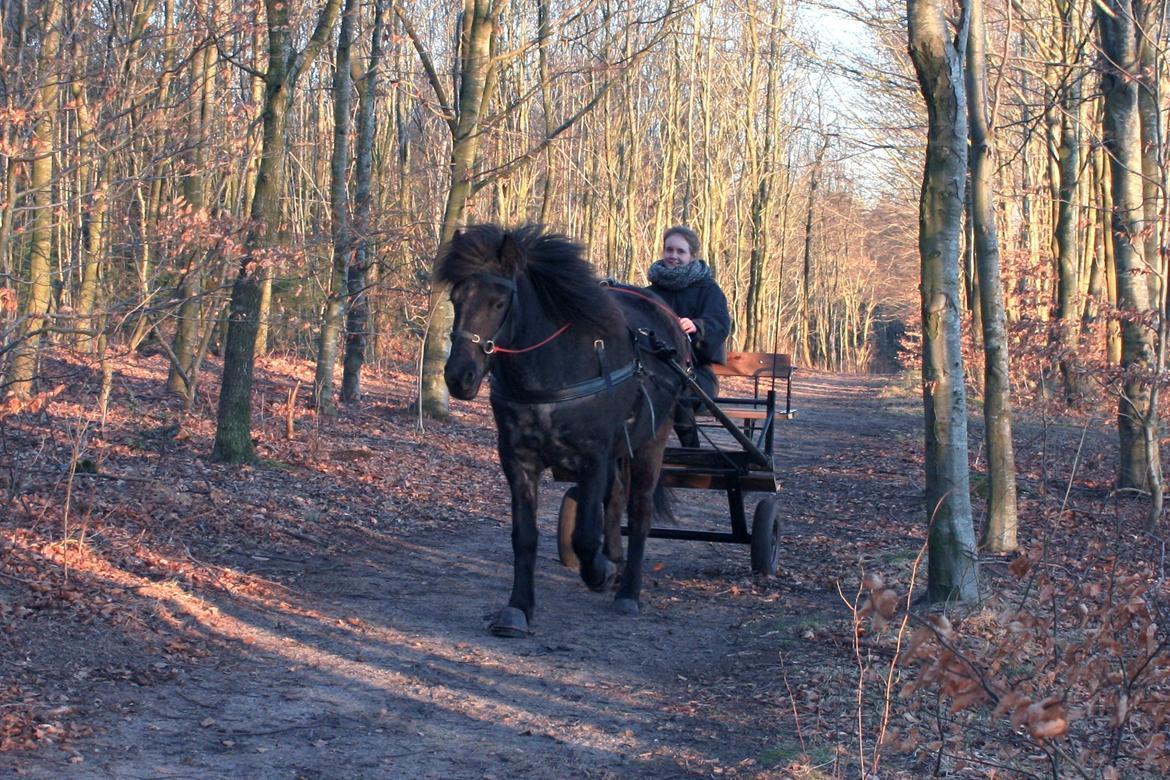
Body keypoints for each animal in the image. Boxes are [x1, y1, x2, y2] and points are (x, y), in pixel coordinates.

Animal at [439, 222, 692, 636]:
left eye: (498, 302)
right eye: (456, 298)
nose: (459, 376)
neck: (553, 369)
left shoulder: (593, 456)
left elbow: (586, 535)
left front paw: (598, 571)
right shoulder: (518, 459)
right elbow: (525, 537)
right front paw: (518, 607)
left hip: (651, 442)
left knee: (638, 510)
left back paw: (628, 590)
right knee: (616, 498)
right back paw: (616, 560)